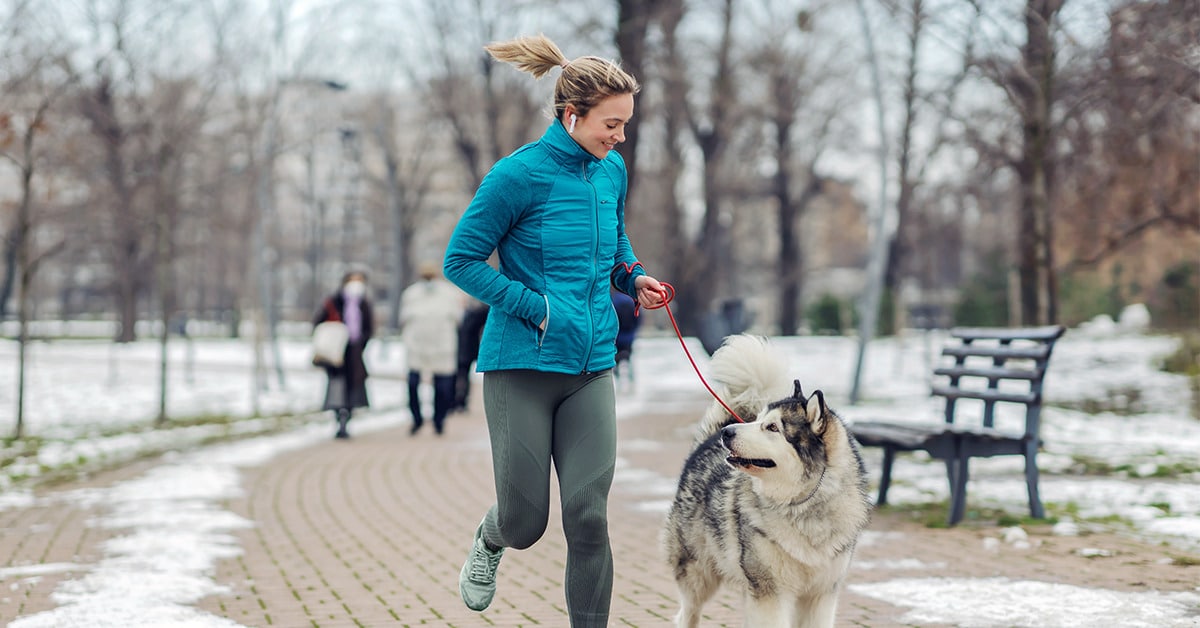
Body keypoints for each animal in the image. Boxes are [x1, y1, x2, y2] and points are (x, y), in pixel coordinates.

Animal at [662, 336, 878, 624]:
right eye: (758, 420)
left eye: (773, 427)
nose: (727, 432)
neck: (803, 505)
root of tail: (706, 442)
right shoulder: (770, 591)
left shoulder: (821, 594)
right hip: (698, 575)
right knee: (687, 613)